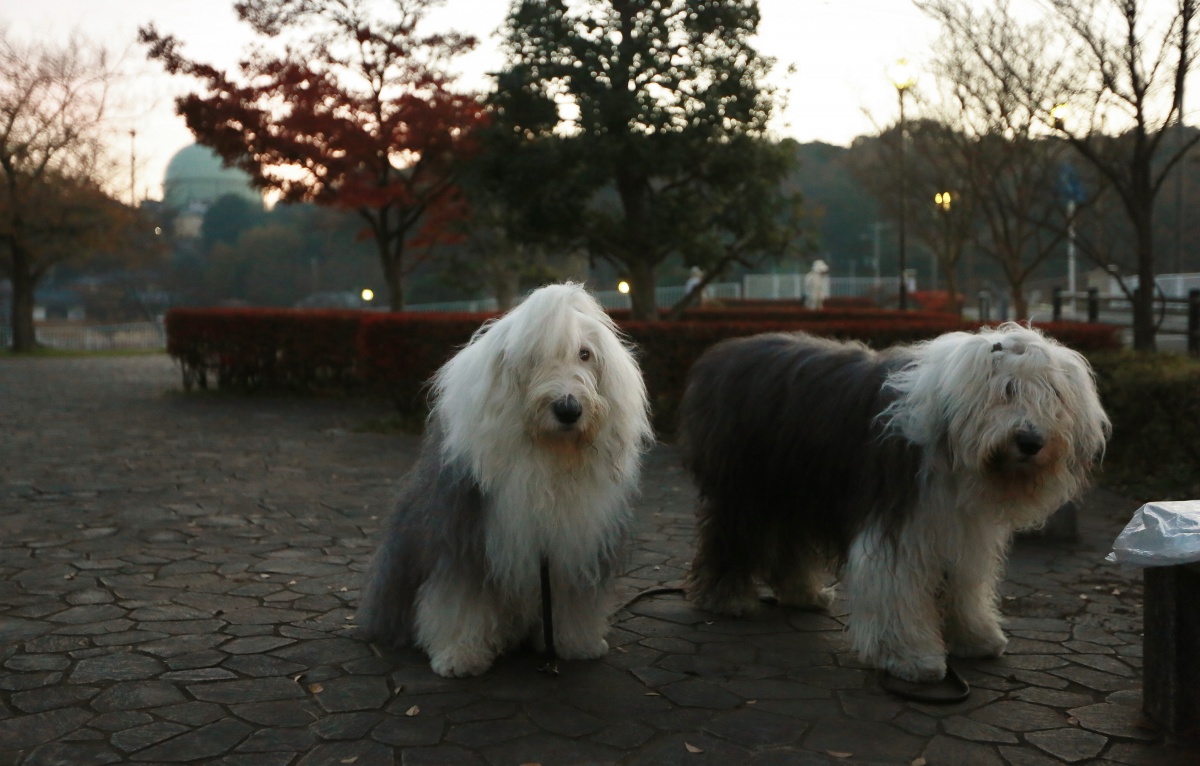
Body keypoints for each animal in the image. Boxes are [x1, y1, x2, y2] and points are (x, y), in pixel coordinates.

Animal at [356, 283, 652, 677]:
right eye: (534, 358)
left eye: (585, 354)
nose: (568, 409)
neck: (550, 454)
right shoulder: (466, 538)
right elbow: (461, 599)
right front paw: (460, 656)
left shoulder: (573, 546)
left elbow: (571, 599)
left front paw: (576, 643)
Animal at [676, 323, 1110, 682]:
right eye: (1007, 390)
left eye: (1054, 396)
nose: (1030, 441)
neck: (950, 441)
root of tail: (727, 353)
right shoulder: (899, 523)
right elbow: (895, 586)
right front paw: (910, 658)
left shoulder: (961, 528)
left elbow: (965, 584)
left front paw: (976, 638)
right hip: (747, 487)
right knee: (731, 535)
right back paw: (728, 598)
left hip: (796, 487)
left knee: (788, 541)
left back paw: (803, 594)